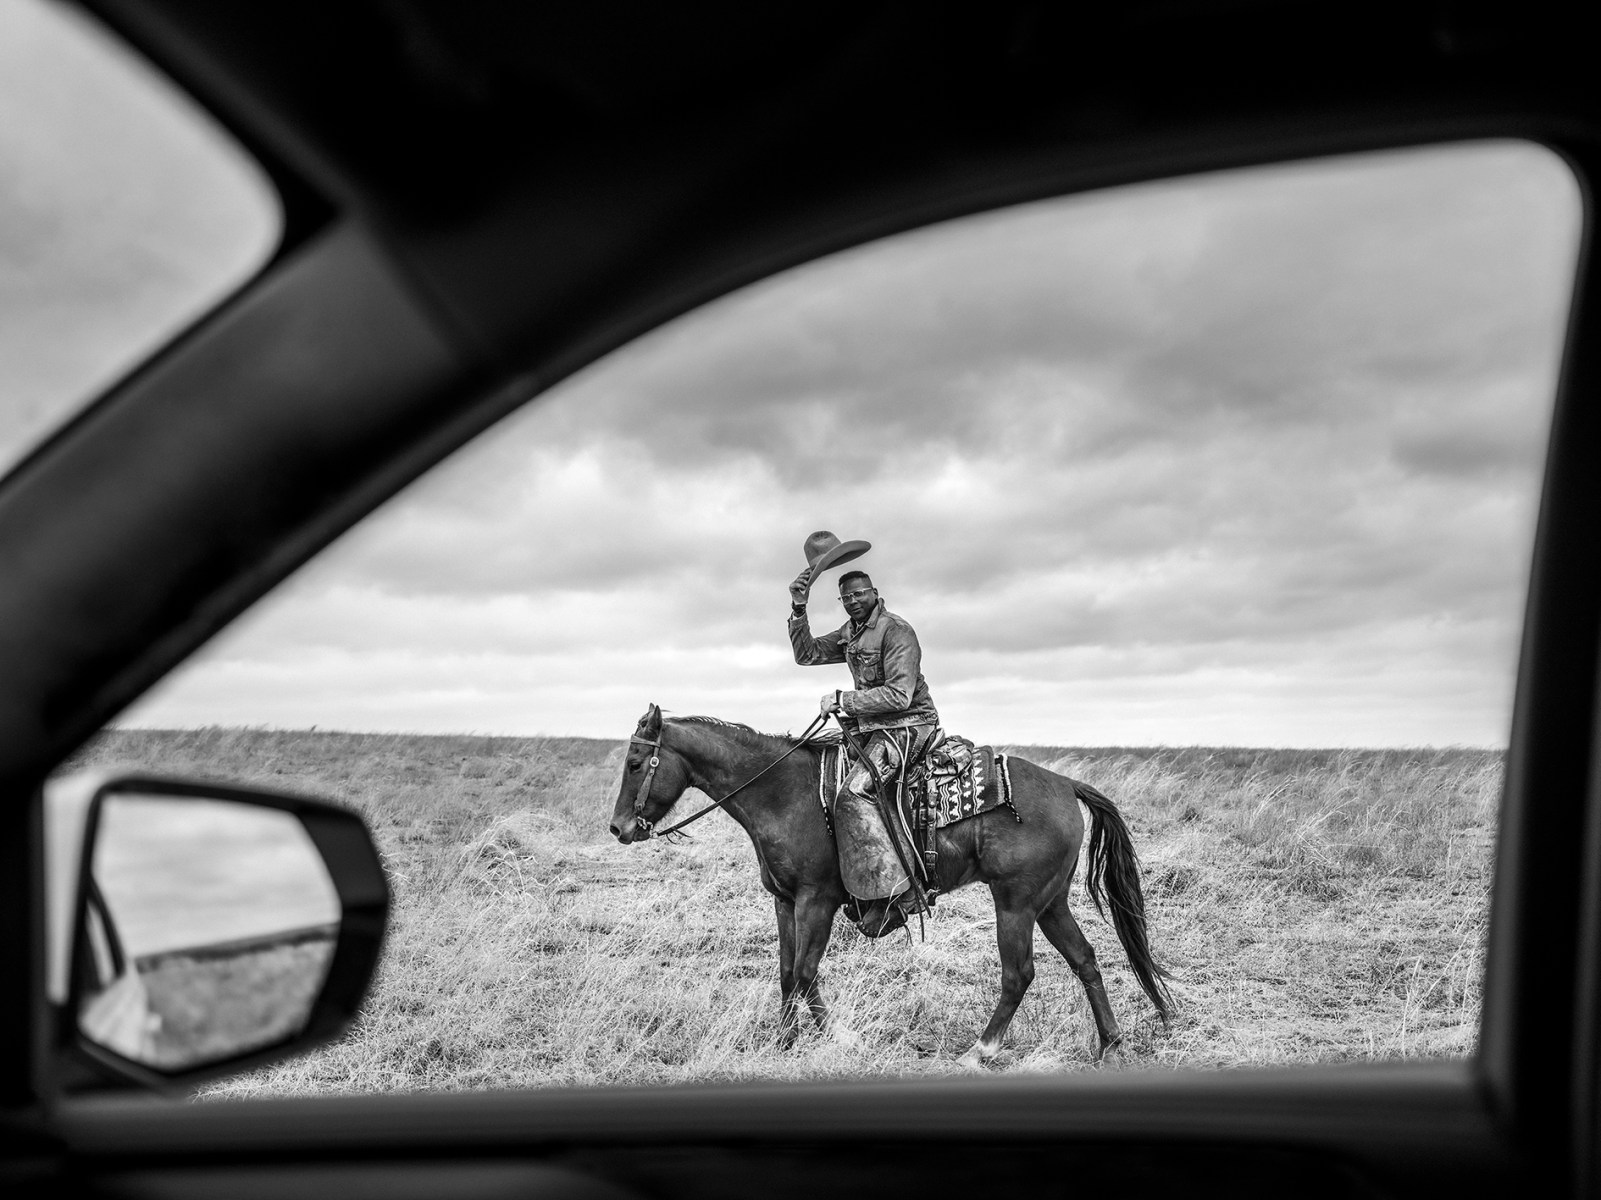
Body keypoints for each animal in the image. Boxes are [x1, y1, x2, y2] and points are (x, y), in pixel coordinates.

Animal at [605, 704, 1171, 1068]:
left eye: (635, 763)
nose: (618, 828)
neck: (785, 794)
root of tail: (1065, 784)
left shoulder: (817, 901)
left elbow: (806, 973)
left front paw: (832, 1039)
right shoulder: (784, 901)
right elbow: (788, 973)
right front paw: (791, 1041)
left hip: (1016, 903)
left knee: (1019, 974)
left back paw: (979, 1052)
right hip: (1050, 902)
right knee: (1086, 960)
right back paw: (1110, 1045)